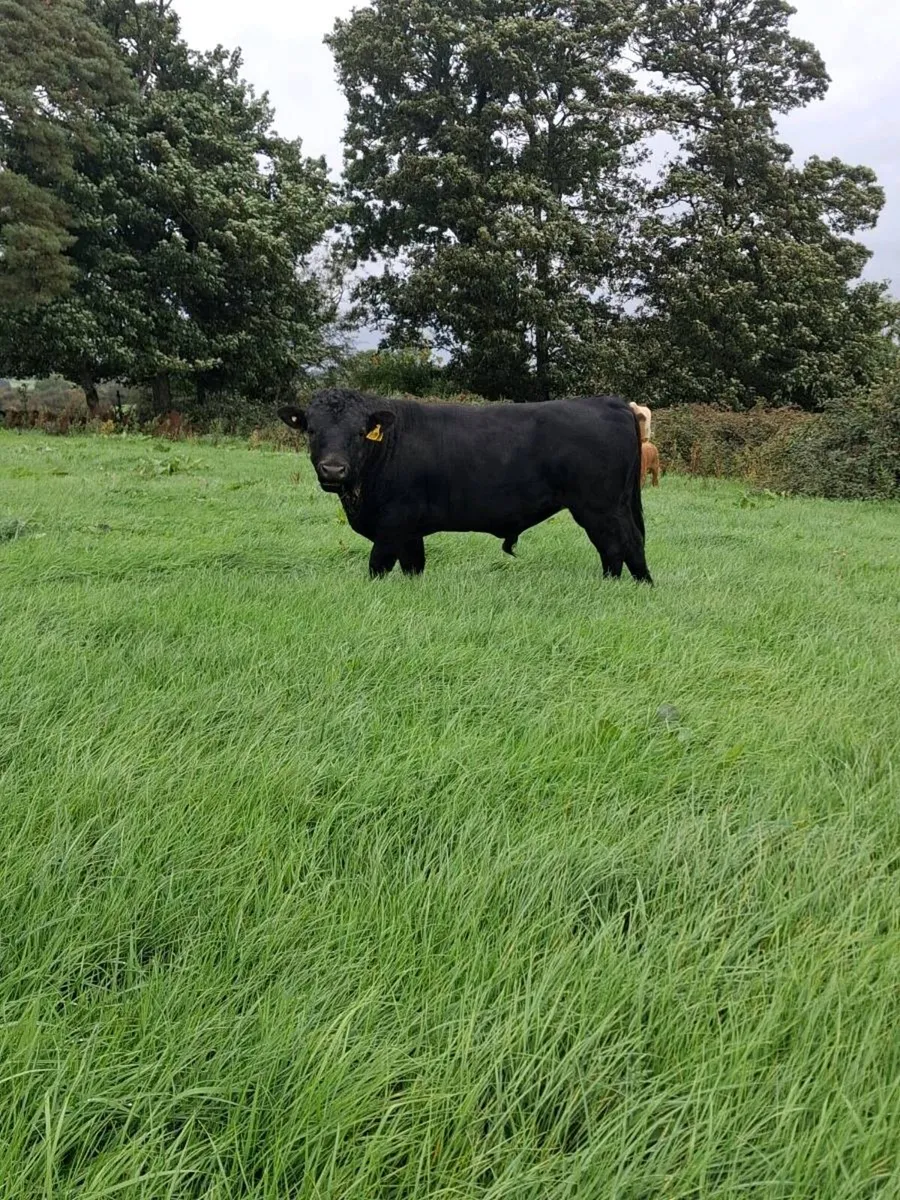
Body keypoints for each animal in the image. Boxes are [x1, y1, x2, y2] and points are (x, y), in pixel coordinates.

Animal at [278, 388, 652, 584]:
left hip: (600, 506)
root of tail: (608, 401)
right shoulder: (410, 533)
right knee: (613, 547)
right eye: (311, 430)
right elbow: (414, 567)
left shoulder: (392, 526)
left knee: (625, 543)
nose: (333, 469)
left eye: (359, 432)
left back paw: (638, 586)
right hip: (607, 507)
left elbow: (377, 566)